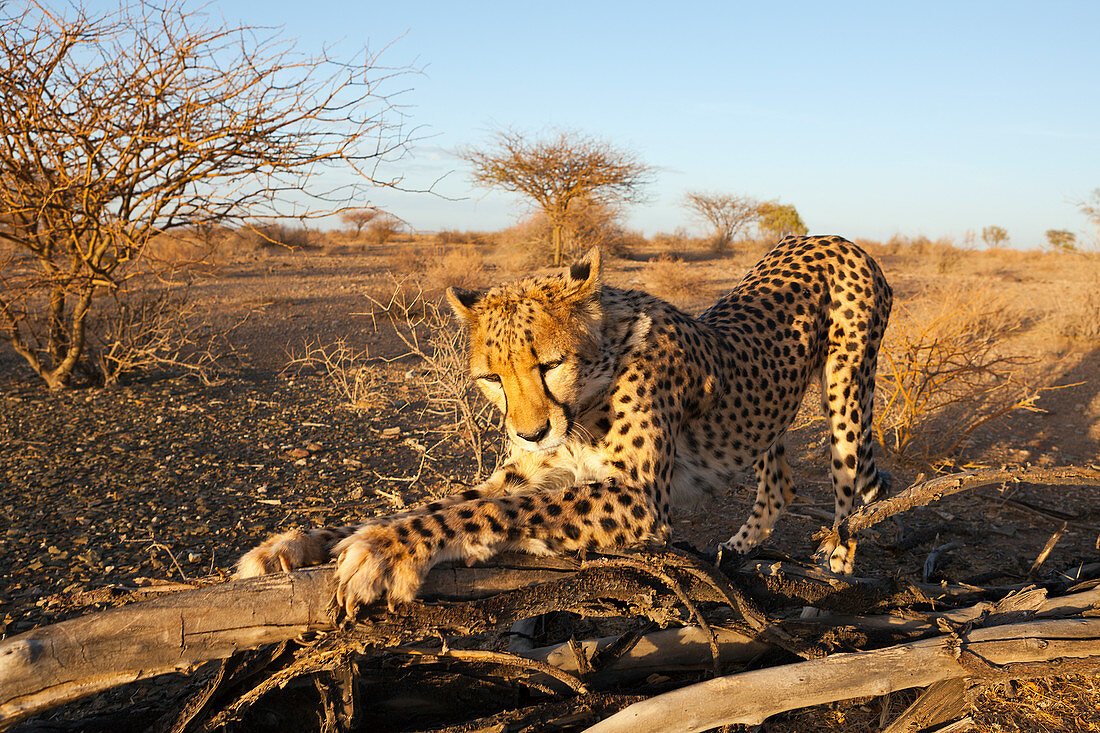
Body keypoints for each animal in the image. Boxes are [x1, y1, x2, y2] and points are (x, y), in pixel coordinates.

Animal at [238, 234, 893, 611]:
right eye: (491, 377)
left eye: (548, 364)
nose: (531, 433)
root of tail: (828, 236)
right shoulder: (530, 470)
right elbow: (449, 501)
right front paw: (296, 545)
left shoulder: (638, 498)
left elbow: (498, 509)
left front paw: (384, 550)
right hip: (767, 413)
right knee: (779, 478)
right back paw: (738, 546)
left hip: (846, 389)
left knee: (849, 483)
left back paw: (836, 566)